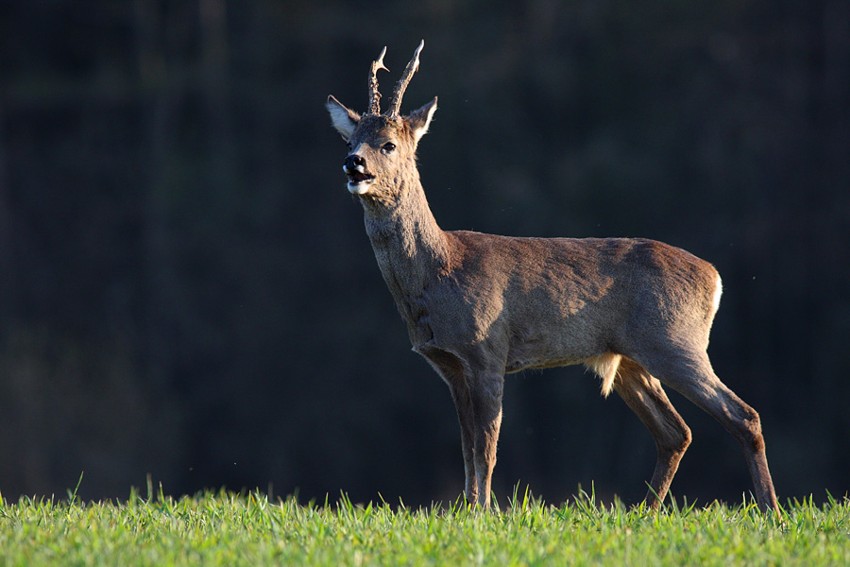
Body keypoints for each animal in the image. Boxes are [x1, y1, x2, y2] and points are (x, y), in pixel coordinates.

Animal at [322, 40, 776, 510]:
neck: (438, 274)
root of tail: (714, 276)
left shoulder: (488, 349)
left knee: (743, 415)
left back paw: (771, 511)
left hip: (675, 340)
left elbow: (486, 447)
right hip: (633, 358)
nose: (353, 163)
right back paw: (647, 511)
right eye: (350, 139)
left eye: (388, 144)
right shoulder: (449, 366)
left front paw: (484, 512)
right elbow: (467, 447)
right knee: (675, 432)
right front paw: (466, 509)